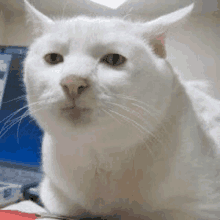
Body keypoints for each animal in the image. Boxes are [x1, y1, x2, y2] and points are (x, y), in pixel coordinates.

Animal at [23, 0, 220, 219]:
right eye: (53, 58)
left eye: (114, 60)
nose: (72, 82)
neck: (101, 157)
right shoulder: (55, 196)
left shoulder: (201, 207)